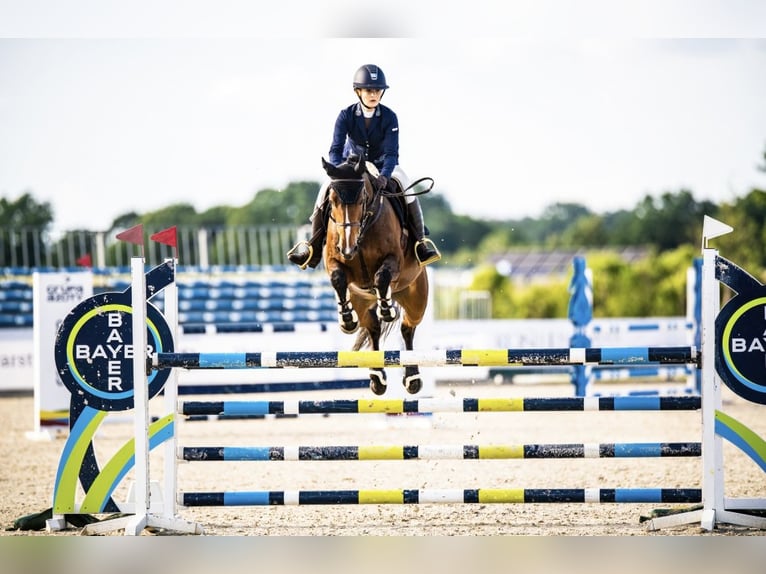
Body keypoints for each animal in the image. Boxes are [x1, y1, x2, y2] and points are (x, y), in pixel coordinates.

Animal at [320, 154, 432, 396]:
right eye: (332, 199)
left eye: (362, 198)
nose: (348, 248)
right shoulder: (333, 261)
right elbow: (338, 279)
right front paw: (346, 320)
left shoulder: (394, 260)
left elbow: (381, 277)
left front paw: (387, 309)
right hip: (361, 302)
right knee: (373, 328)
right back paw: (377, 378)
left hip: (416, 298)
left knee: (407, 328)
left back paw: (412, 378)